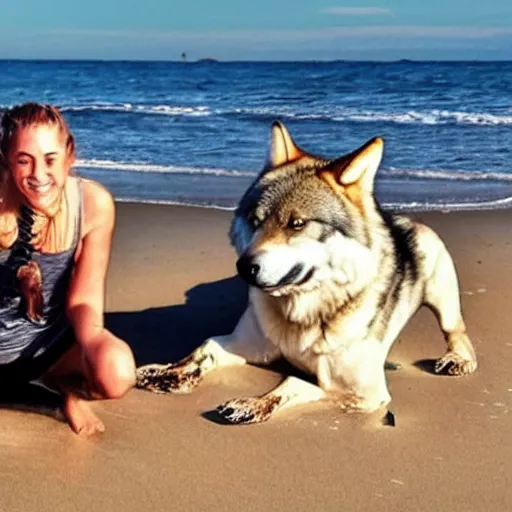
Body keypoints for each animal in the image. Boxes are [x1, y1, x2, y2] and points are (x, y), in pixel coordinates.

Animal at [135, 121, 476, 424]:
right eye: (255, 221)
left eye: (297, 224)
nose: (244, 268)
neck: (302, 312)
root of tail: (402, 220)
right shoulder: (251, 346)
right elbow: (204, 347)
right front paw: (164, 373)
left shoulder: (364, 393)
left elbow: (294, 381)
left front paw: (251, 404)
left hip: (443, 299)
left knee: (458, 334)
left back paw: (457, 360)